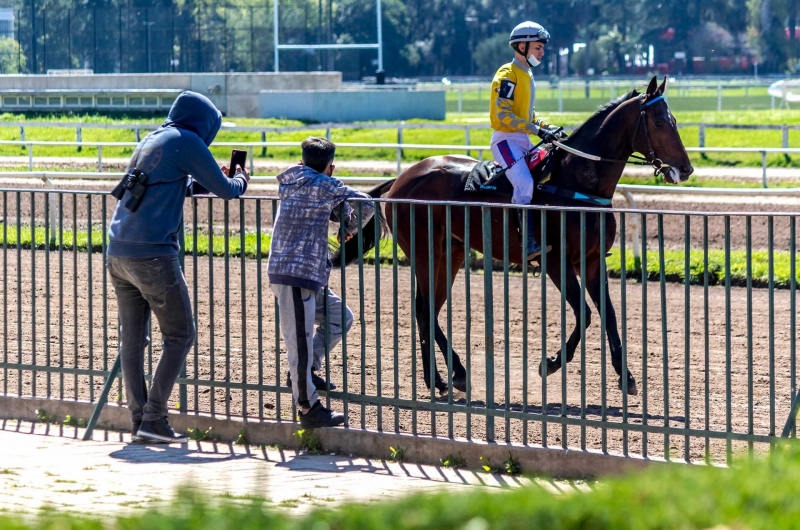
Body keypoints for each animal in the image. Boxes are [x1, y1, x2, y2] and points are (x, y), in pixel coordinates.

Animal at [336, 75, 692, 396]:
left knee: (429, 309)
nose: (686, 168)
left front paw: (626, 376)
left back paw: (440, 379)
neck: (575, 185)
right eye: (659, 122)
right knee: (425, 309)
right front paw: (550, 363)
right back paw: (454, 374)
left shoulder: (592, 261)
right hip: (424, 251)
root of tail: (401, 179)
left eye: (674, 120)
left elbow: (609, 314)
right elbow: (586, 313)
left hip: (451, 252)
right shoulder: (556, 262)